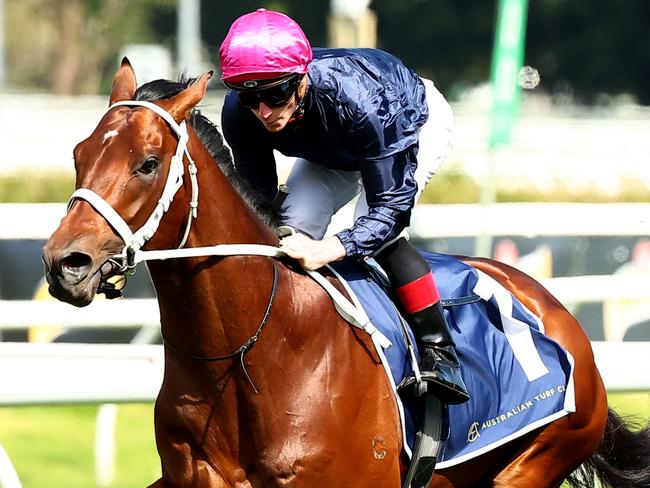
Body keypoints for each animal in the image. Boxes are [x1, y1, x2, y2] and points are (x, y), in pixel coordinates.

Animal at [43, 59, 644, 486]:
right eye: (78, 154)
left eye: (147, 163)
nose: (65, 263)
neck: (247, 353)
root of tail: (559, 313)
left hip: (537, 457)